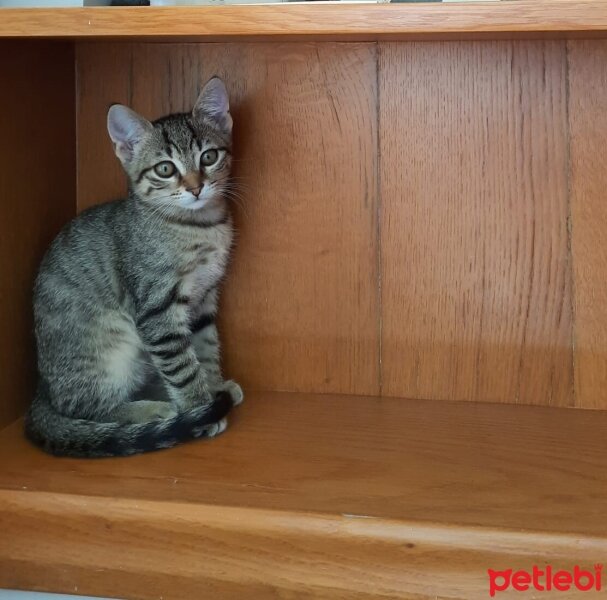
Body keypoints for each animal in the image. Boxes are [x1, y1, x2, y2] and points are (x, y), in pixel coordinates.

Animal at [24, 76, 242, 460]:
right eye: (165, 169)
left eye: (209, 156)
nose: (196, 187)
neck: (197, 227)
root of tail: (43, 390)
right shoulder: (157, 308)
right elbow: (183, 365)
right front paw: (201, 408)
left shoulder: (203, 299)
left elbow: (205, 347)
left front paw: (215, 385)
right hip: (110, 351)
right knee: (84, 408)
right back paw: (151, 411)